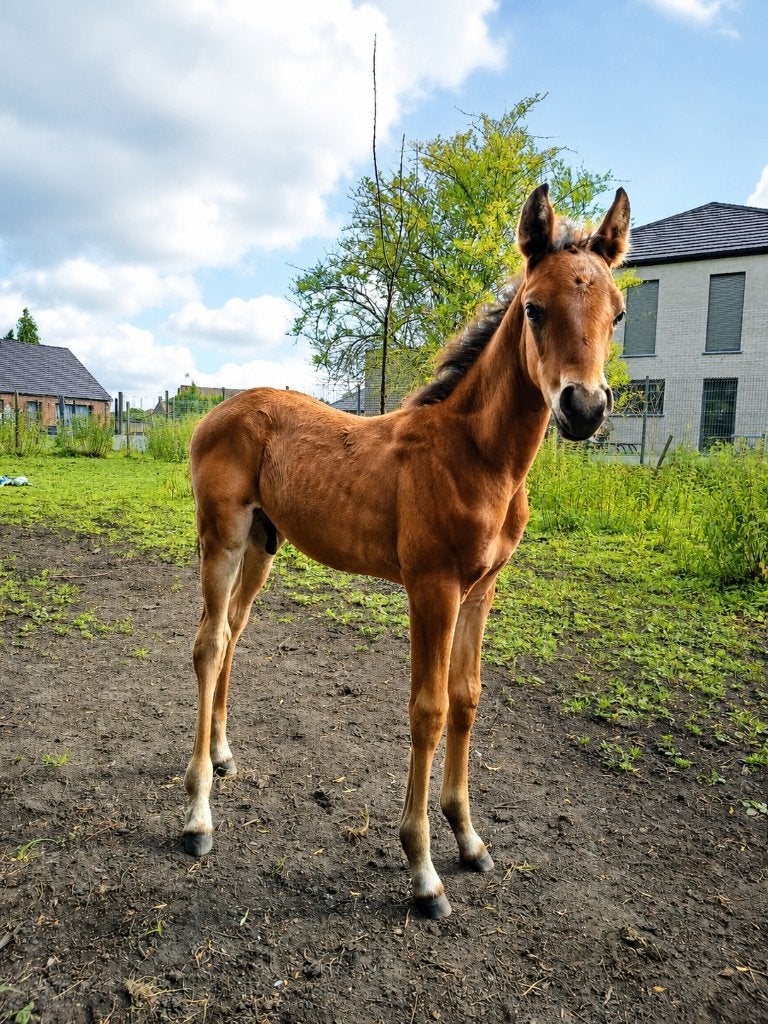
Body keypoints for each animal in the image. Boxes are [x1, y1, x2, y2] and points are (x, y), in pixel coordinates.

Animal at [182, 183, 630, 919]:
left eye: (617, 313)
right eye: (533, 308)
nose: (584, 407)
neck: (477, 458)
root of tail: (216, 410)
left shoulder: (482, 589)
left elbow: (467, 698)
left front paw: (470, 839)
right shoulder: (432, 586)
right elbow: (429, 708)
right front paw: (423, 872)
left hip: (264, 543)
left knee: (235, 633)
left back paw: (222, 755)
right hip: (220, 535)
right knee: (209, 642)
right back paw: (197, 815)